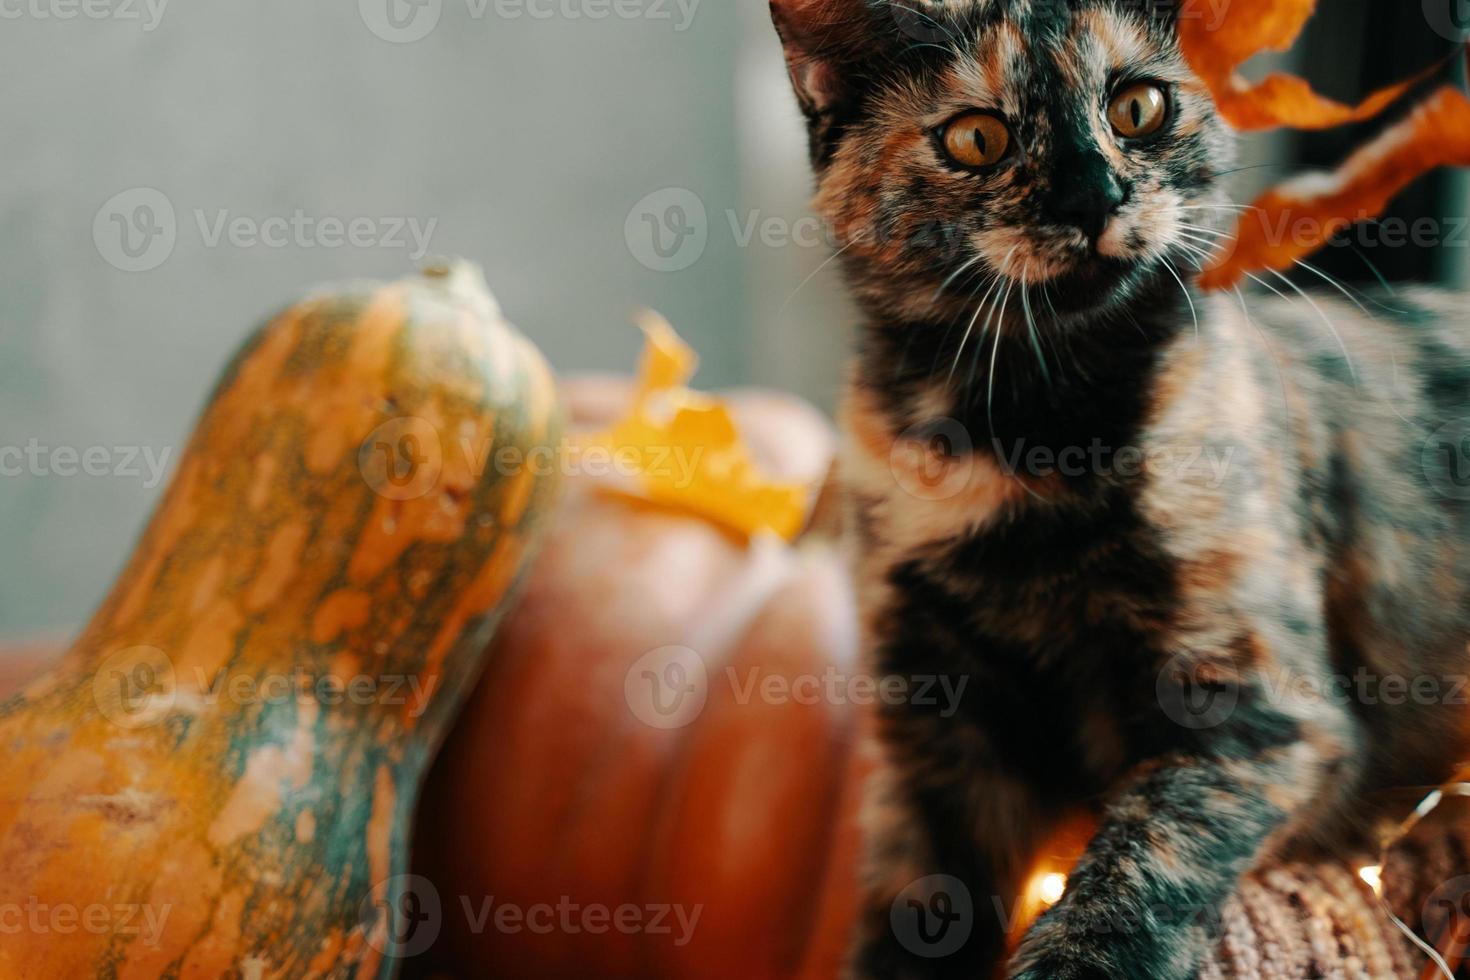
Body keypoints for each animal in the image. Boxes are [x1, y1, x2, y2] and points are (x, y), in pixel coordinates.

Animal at [764, 1, 1470, 980]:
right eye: (976, 138)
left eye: (1138, 108)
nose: (1090, 197)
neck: (1026, 437)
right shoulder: (941, 737)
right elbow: (915, 913)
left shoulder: (1257, 707)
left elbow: (1145, 851)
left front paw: (1078, 955)